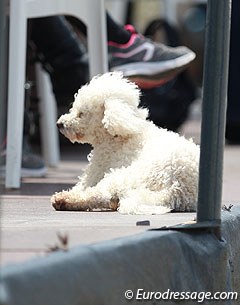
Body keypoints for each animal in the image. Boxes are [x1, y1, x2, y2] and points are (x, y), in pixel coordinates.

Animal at [50, 72, 199, 214]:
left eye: (81, 113)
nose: (59, 124)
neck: (118, 136)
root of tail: (175, 189)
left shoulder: (96, 171)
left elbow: (82, 186)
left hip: (124, 175)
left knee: (100, 194)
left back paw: (64, 200)